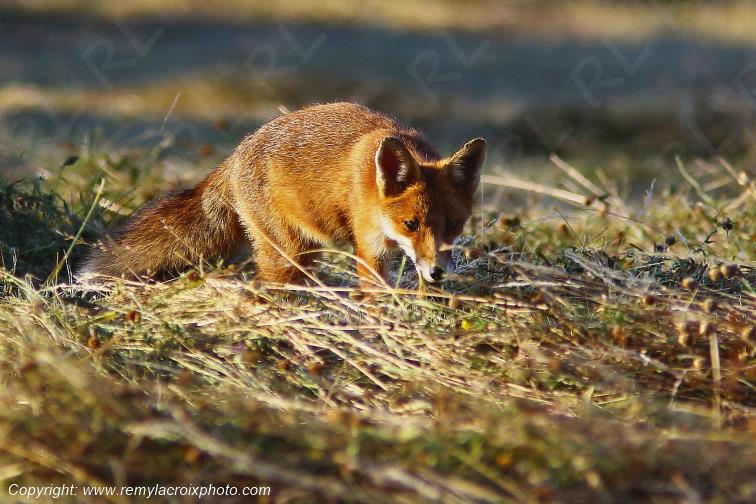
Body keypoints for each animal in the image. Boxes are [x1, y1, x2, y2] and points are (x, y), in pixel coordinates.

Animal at [79, 102, 486, 287]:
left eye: (453, 225)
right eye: (410, 224)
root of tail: (234, 155)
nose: (437, 273)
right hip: (288, 256)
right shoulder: (369, 247)